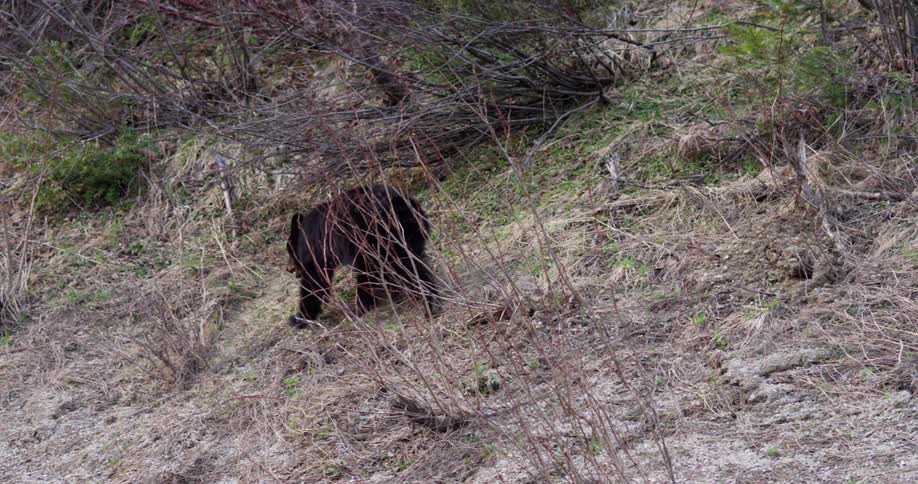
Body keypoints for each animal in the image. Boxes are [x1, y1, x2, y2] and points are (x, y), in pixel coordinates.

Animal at [286, 184, 440, 327]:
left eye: (289, 250)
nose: (289, 269)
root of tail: (400, 203)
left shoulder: (317, 251)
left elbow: (315, 281)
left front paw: (300, 317)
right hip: (411, 234)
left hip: (375, 240)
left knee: (376, 269)